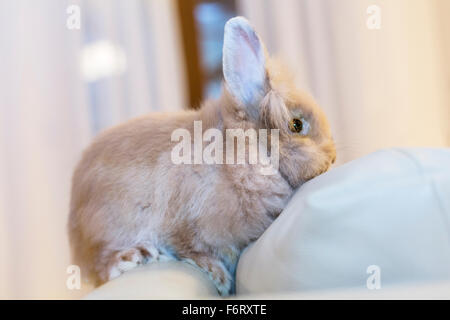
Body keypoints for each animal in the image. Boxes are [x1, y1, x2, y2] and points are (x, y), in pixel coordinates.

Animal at [68, 16, 336, 298]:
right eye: (297, 125)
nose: (332, 158)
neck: (245, 151)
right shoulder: (184, 222)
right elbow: (189, 248)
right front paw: (217, 277)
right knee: (102, 265)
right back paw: (136, 257)